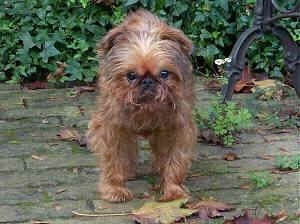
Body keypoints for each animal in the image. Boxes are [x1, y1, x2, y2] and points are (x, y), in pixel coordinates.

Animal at [87, 9, 197, 203]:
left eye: (164, 74)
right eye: (131, 76)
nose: (147, 81)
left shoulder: (177, 128)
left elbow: (175, 160)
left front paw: (173, 189)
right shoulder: (111, 128)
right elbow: (113, 158)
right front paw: (114, 188)